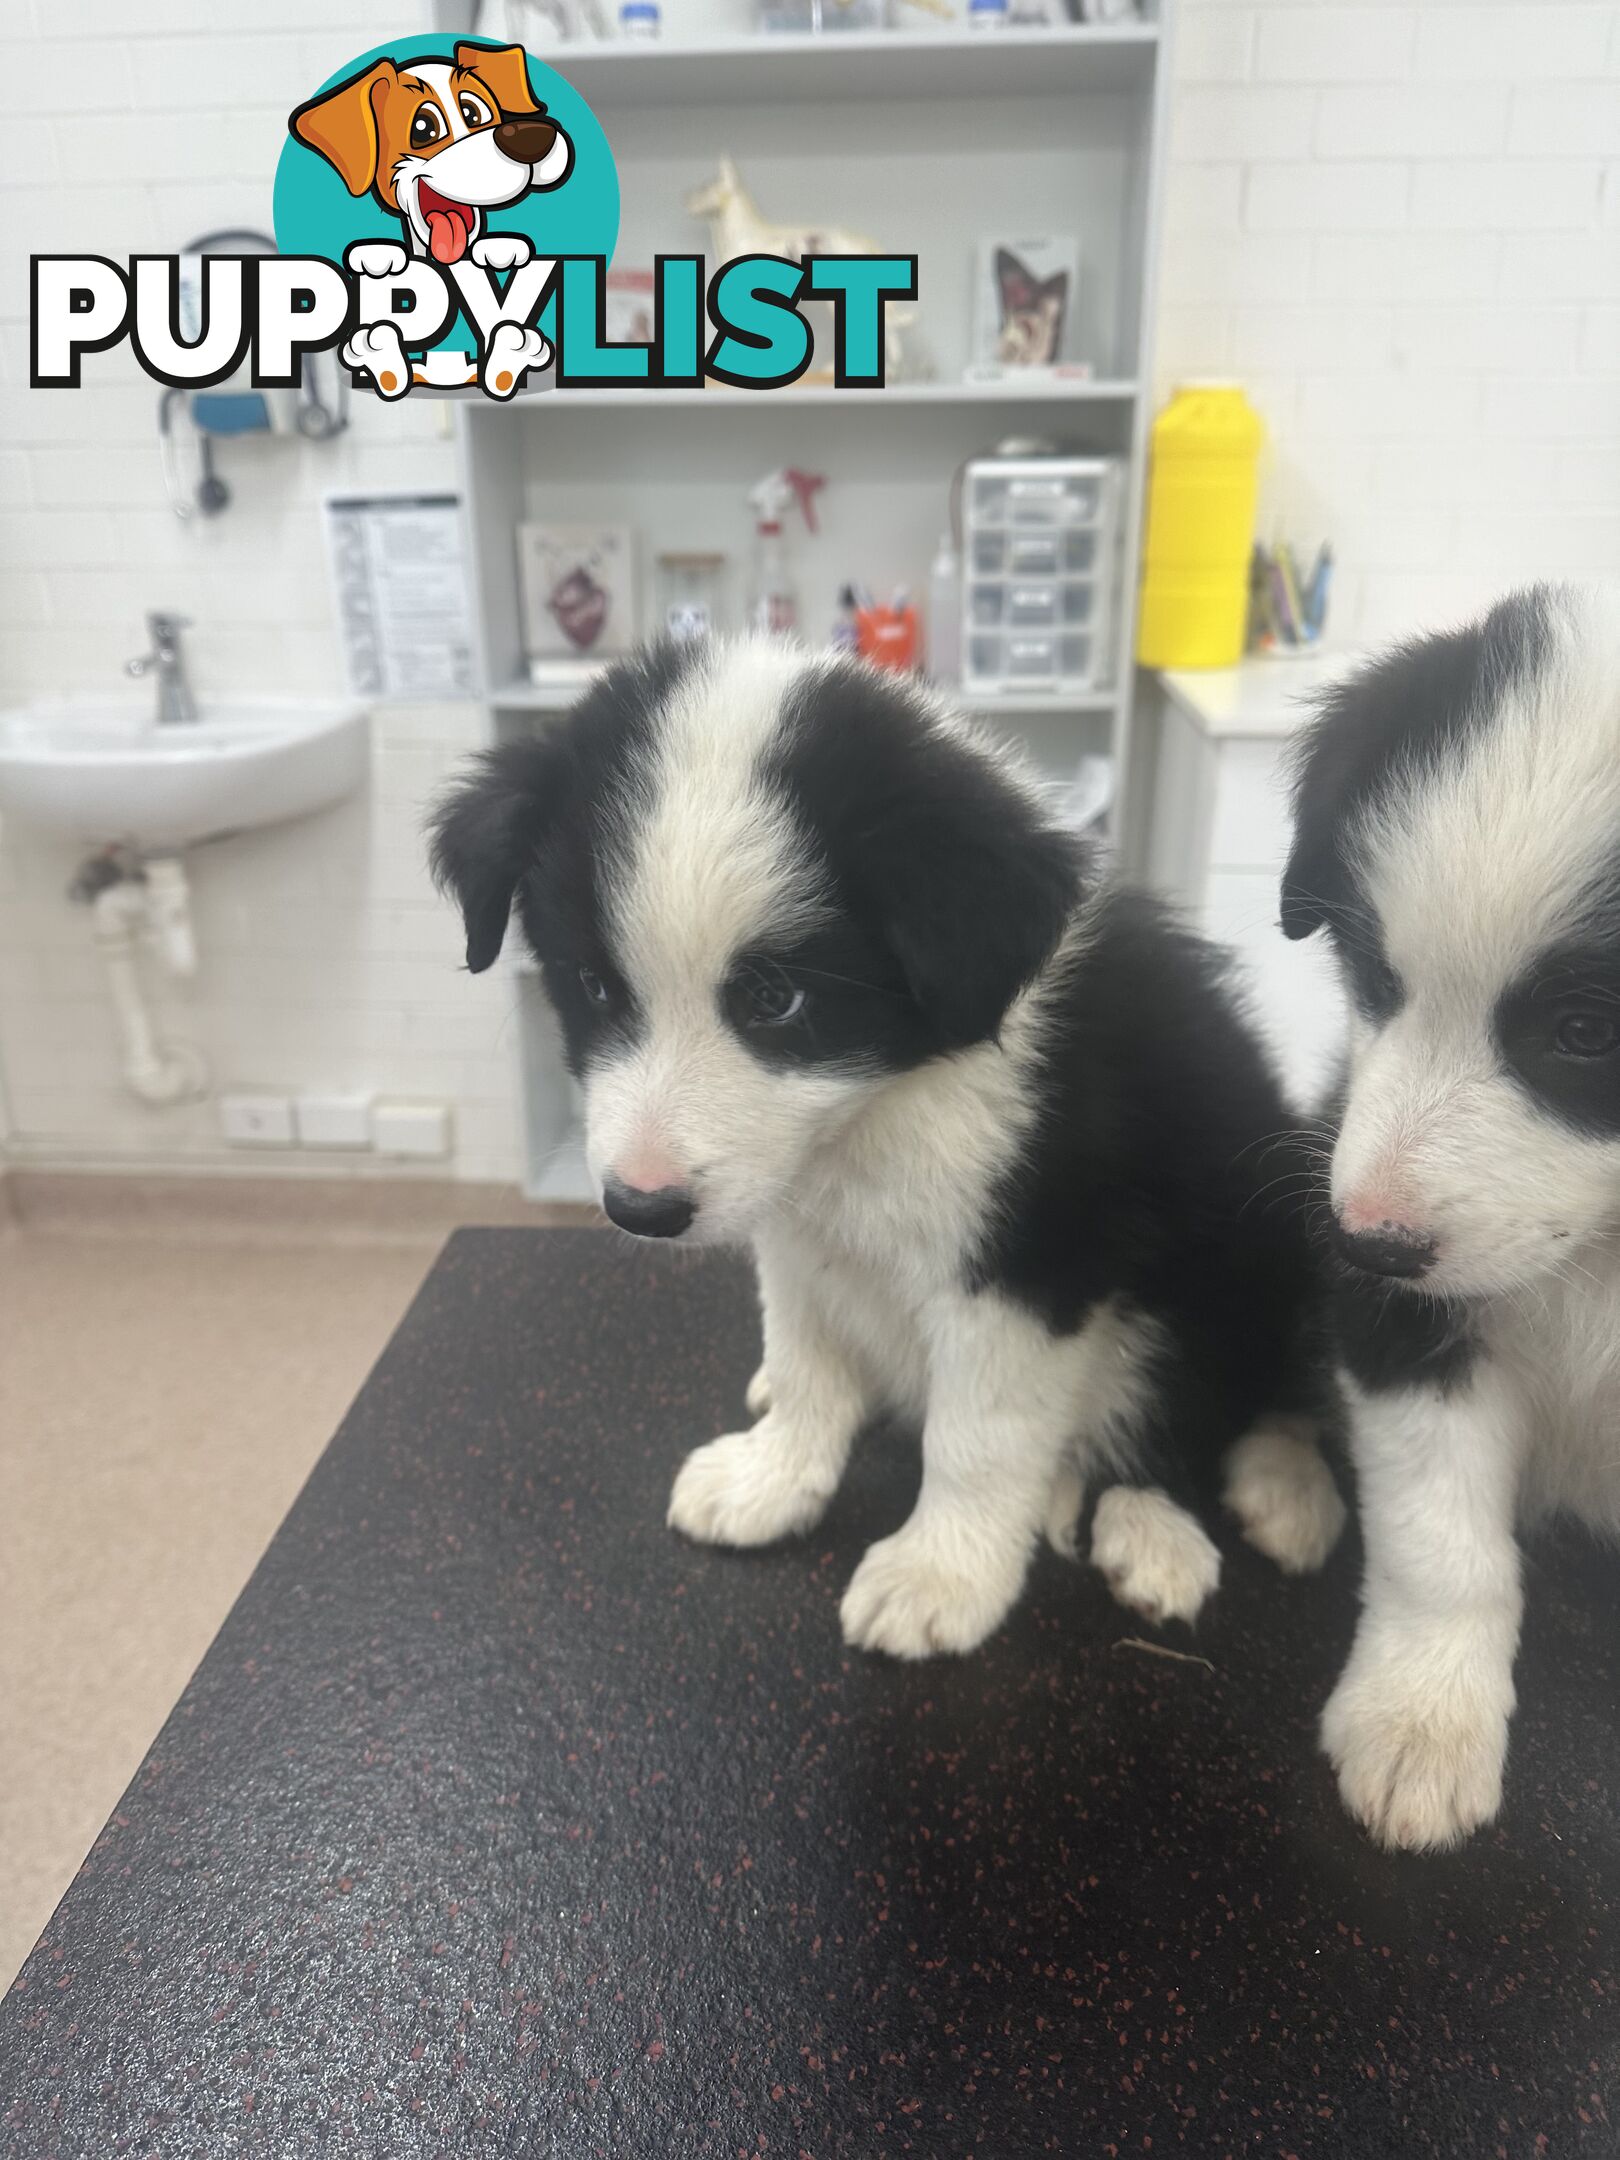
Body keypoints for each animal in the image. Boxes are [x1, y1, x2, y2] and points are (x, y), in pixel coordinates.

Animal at [434, 635, 1347, 1650]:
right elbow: (806, 1365)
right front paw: (771, 1480)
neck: (872, 1115)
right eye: (593, 986)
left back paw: (1212, 1515)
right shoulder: (797, 1236)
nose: (642, 1208)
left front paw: (941, 1574)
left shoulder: (1031, 1263)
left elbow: (977, 1434)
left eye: (776, 999)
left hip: (1251, 1252)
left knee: (1240, 1400)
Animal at [1278, 583, 1620, 1848]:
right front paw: (1420, 1722)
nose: (1363, 1240)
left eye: (1587, 1032)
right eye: (1375, 975)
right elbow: (1443, 1540)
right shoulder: (1408, 1333)